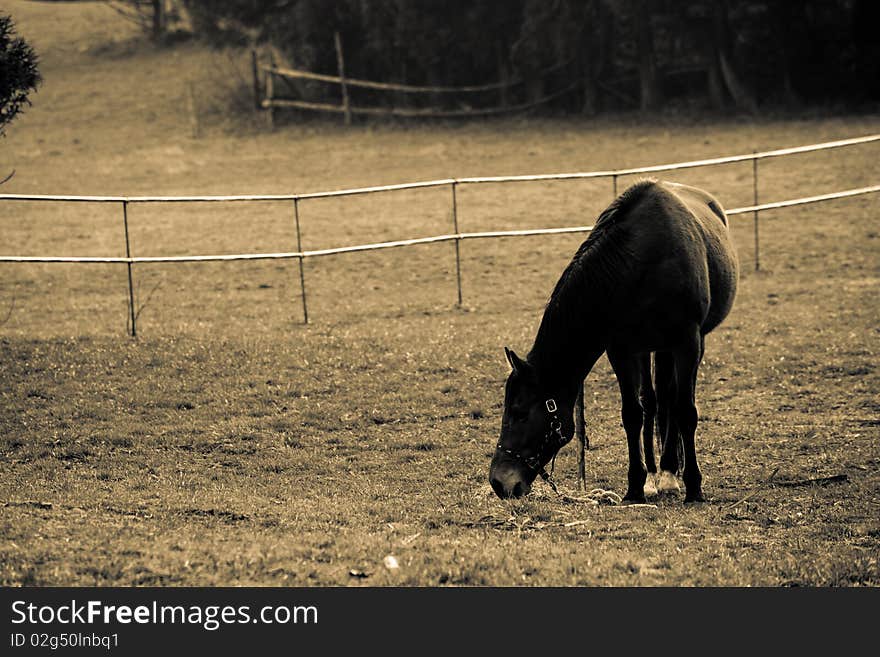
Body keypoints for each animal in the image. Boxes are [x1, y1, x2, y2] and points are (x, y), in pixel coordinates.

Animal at [488, 179, 736, 502]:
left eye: (519, 412)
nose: (498, 482)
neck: (644, 262)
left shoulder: (687, 343)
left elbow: (685, 411)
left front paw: (694, 487)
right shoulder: (621, 350)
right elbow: (632, 414)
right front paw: (635, 487)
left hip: (681, 346)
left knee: (670, 400)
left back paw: (671, 473)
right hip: (648, 349)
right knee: (653, 401)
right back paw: (656, 475)